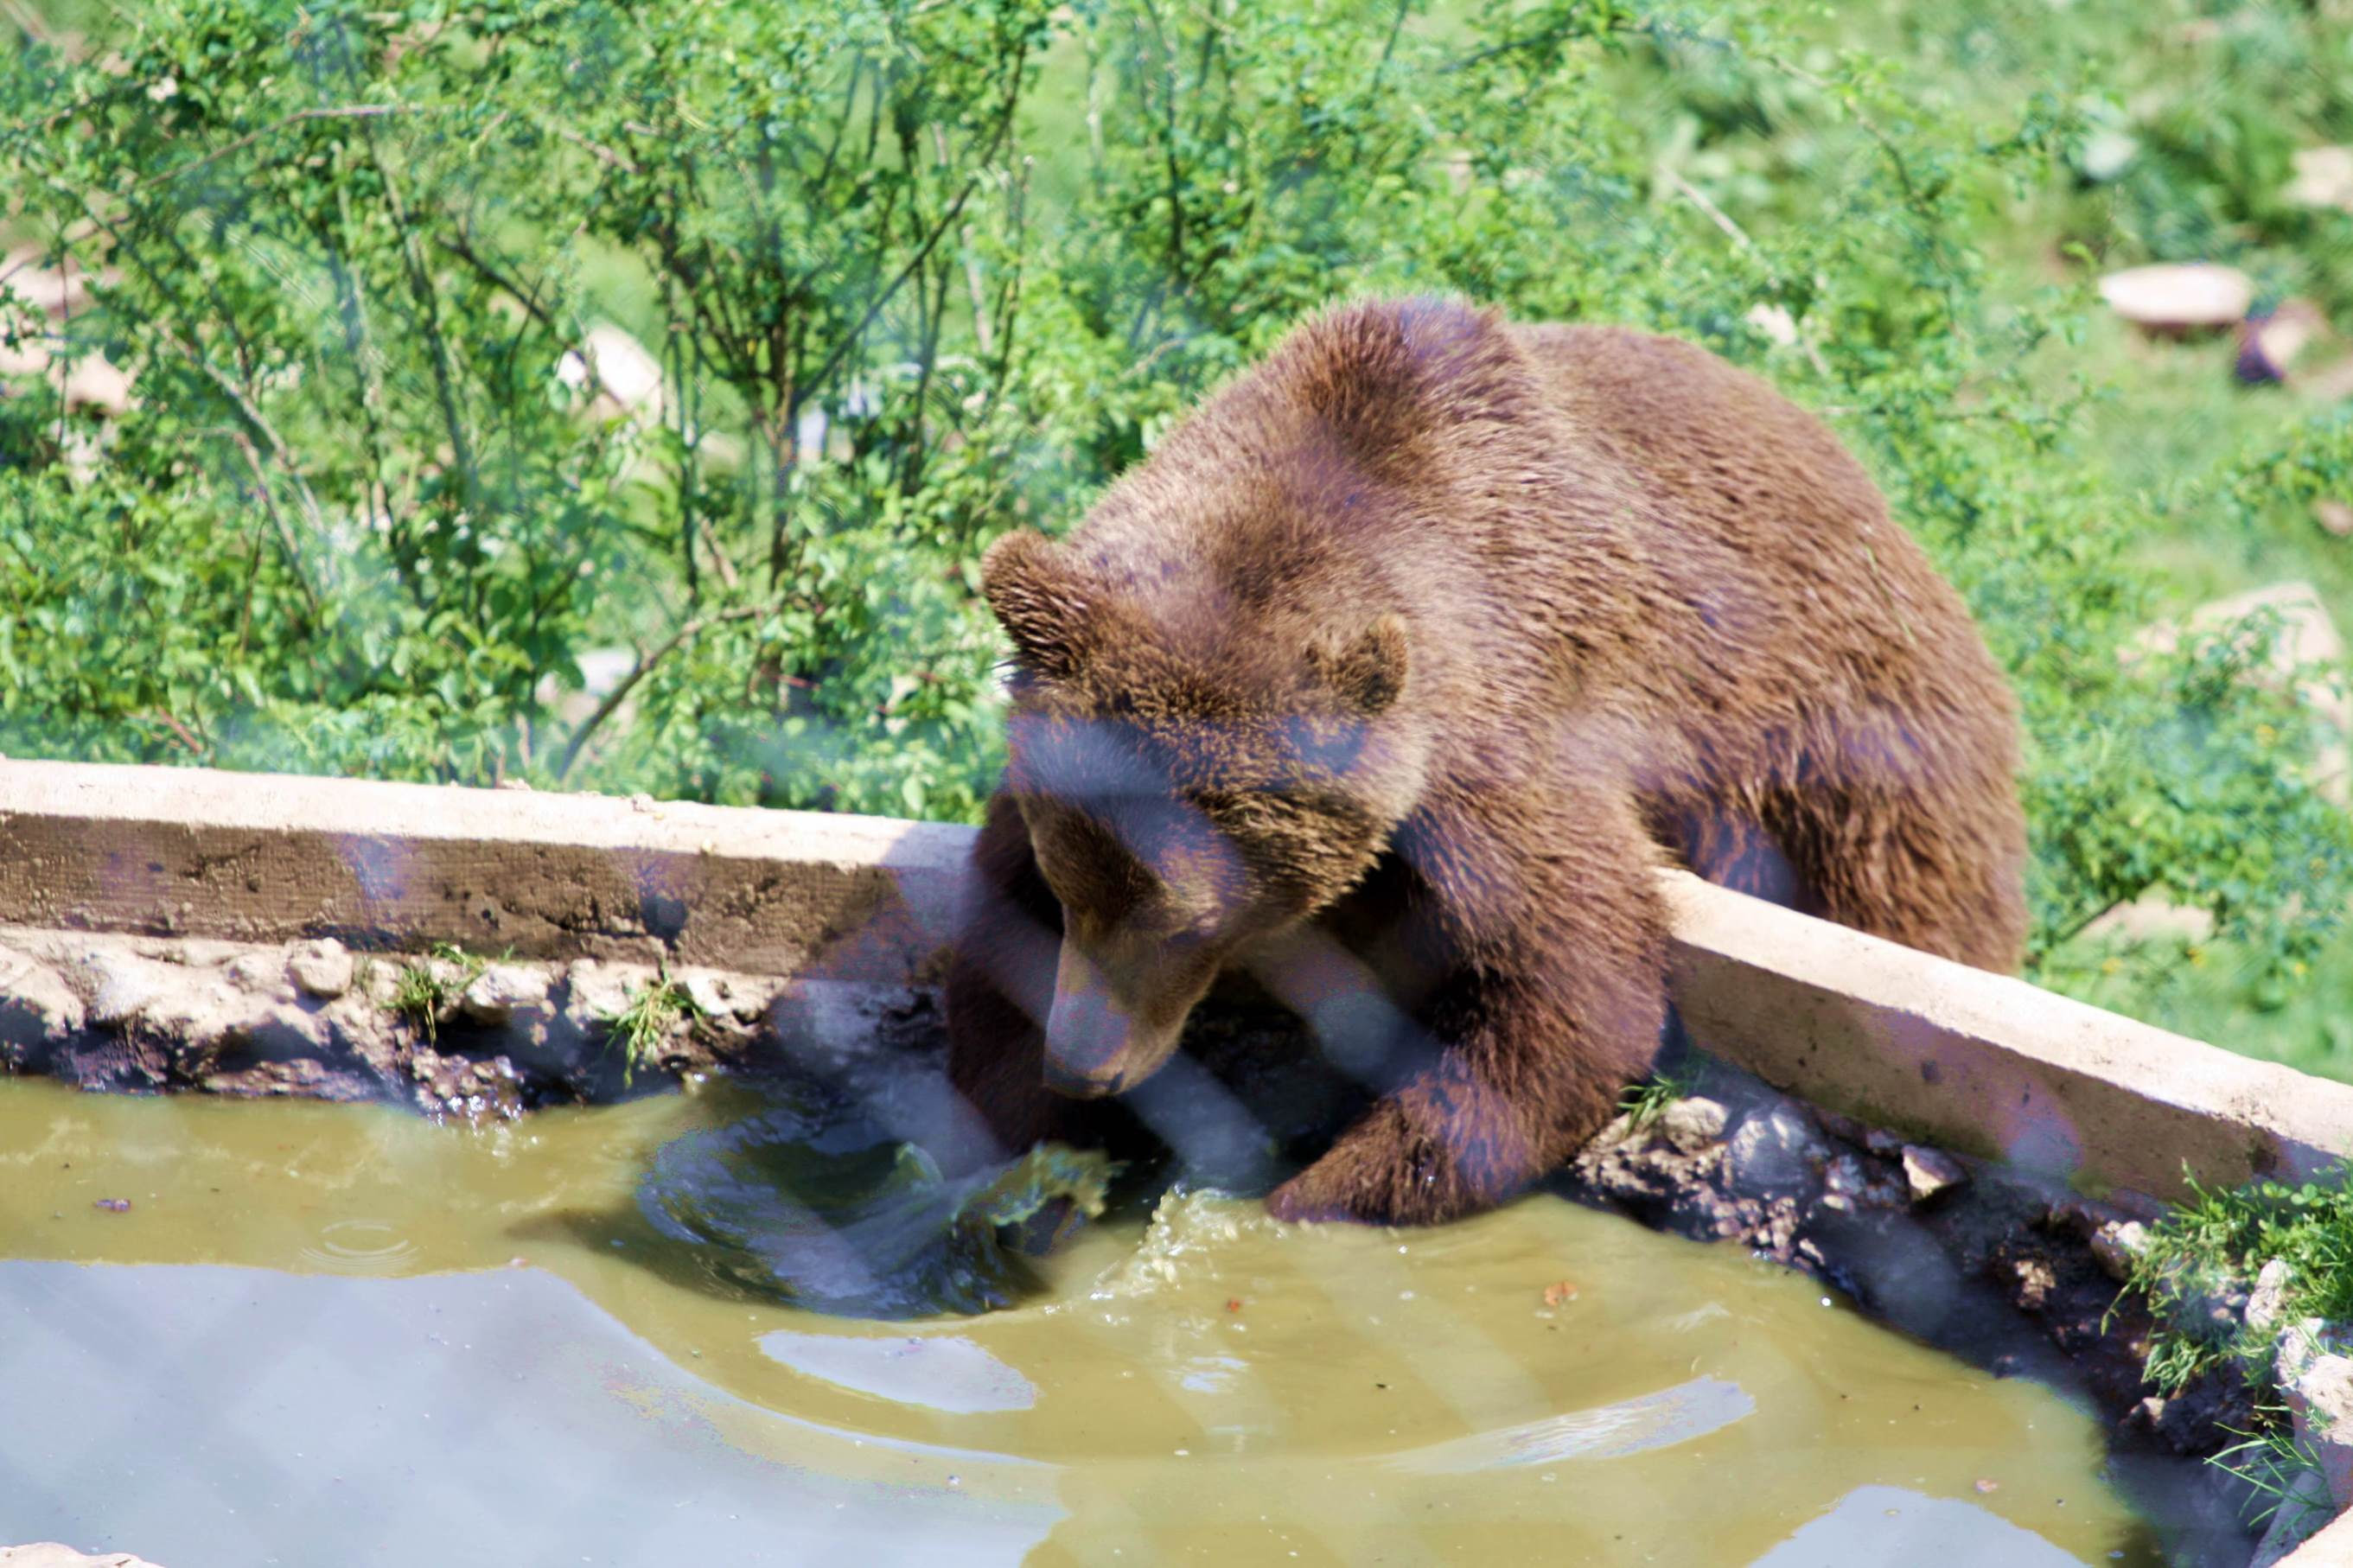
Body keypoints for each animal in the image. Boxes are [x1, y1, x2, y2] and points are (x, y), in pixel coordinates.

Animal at [936, 293, 2023, 1224]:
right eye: (1068, 887)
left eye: (1188, 921)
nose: (1084, 1065)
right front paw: (1011, 1159)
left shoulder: (1503, 723)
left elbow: (1567, 984)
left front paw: (1296, 1200)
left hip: (1848, 753)